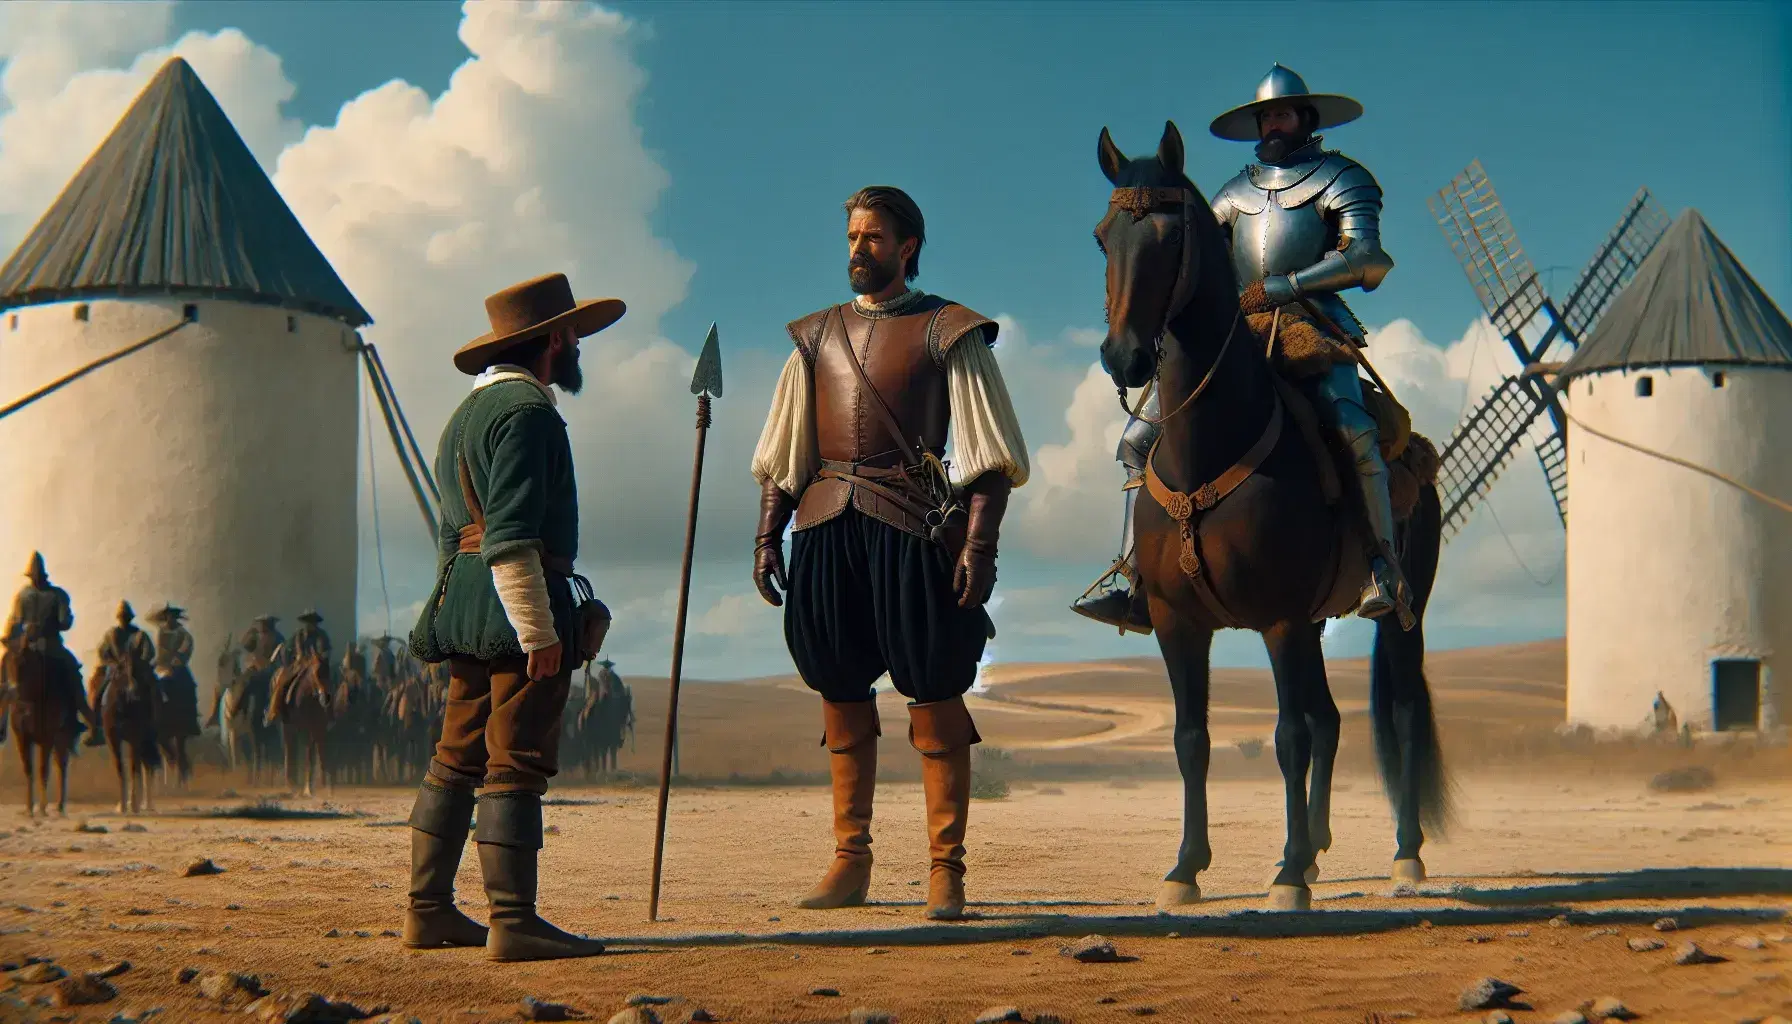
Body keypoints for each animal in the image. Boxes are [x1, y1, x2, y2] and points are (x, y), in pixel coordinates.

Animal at [1, 642, 79, 817]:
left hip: (62, 739)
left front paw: (43, 808)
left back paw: (60, 806)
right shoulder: (22, 738)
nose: (12, 691)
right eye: (6, 662)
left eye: (24, 663)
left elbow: (44, 769)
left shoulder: (47, 738)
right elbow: (28, 769)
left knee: (61, 766)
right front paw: (29, 808)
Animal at [1089, 121, 1455, 914]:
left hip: (1399, 613)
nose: (1124, 357)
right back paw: (1316, 849)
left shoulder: (1281, 619)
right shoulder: (1179, 624)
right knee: (1331, 719)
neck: (1211, 445)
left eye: (1171, 235)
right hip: (1315, 623)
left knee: (1399, 711)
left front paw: (1286, 876)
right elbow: (1191, 739)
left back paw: (1403, 856)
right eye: (1104, 237)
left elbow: (1289, 738)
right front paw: (1186, 868)